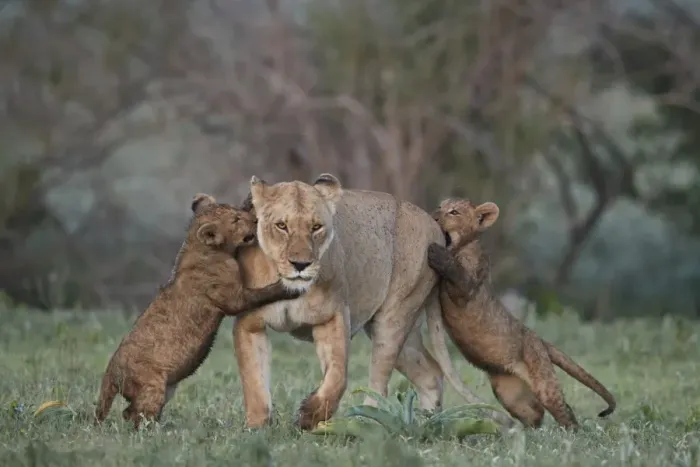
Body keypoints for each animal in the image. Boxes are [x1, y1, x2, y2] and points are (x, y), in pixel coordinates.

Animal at [94, 194, 300, 429]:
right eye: (236, 220)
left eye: (237, 211)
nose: (256, 220)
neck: (201, 246)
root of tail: (110, 373)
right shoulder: (233, 299)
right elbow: (262, 293)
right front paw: (288, 287)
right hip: (152, 387)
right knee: (135, 415)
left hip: (164, 389)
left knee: (129, 412)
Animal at [231, 174, 513, 430]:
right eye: (281, 226)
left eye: (316, 227)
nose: (301, 264)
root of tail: (435, 228)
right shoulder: (249, 324)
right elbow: (254, 380)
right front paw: (257, 430)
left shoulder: (333, 317)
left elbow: (338, 377)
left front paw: (309, 416)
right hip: (404, 331)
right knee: (431, 373)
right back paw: (426, 423)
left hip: (393, 320)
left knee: (380, 385)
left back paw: (366, 425)